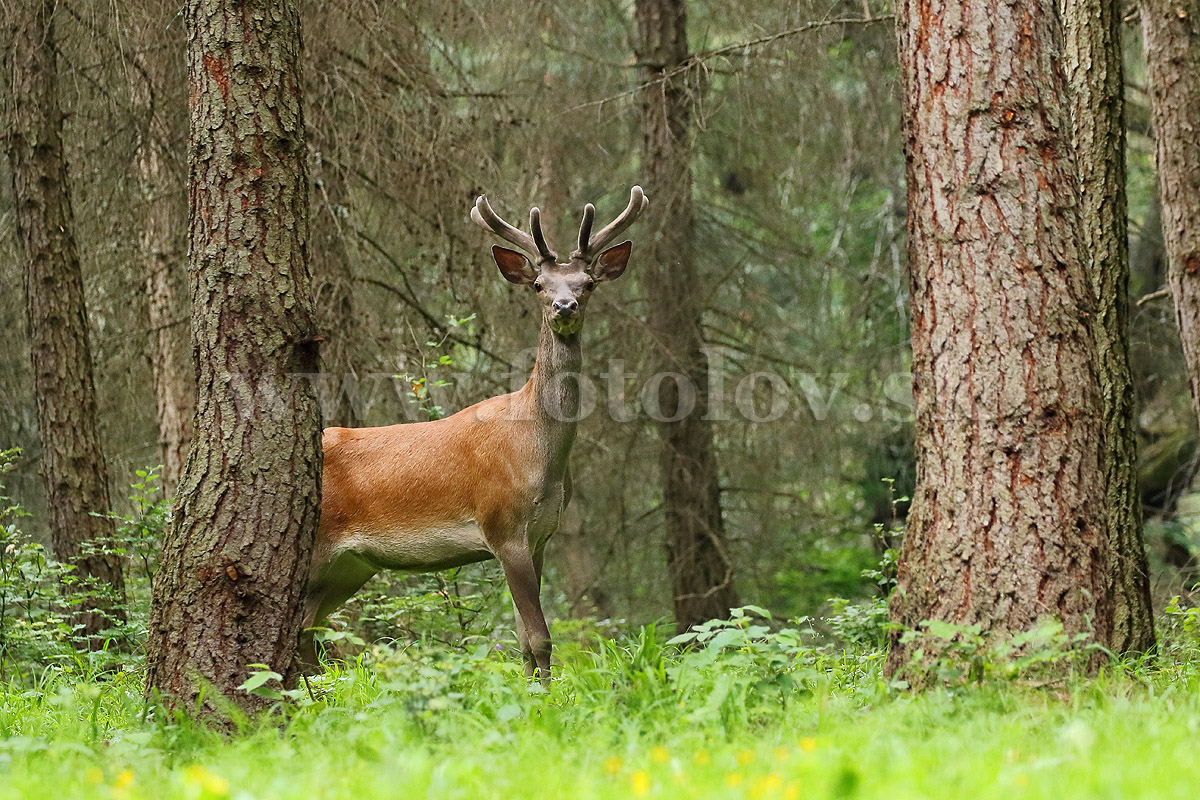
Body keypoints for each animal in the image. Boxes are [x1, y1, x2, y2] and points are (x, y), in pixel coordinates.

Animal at [298, 184, 648, 681]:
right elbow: (539, 636)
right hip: (318, 548)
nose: (565, 306)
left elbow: (523, 640)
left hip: (351, 566)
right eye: (539, 286)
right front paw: (546, 695)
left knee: (308, 630)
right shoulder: (501, 524)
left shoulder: (540, 536)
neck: (539, 456)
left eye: (588, 283)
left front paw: (535, 690)